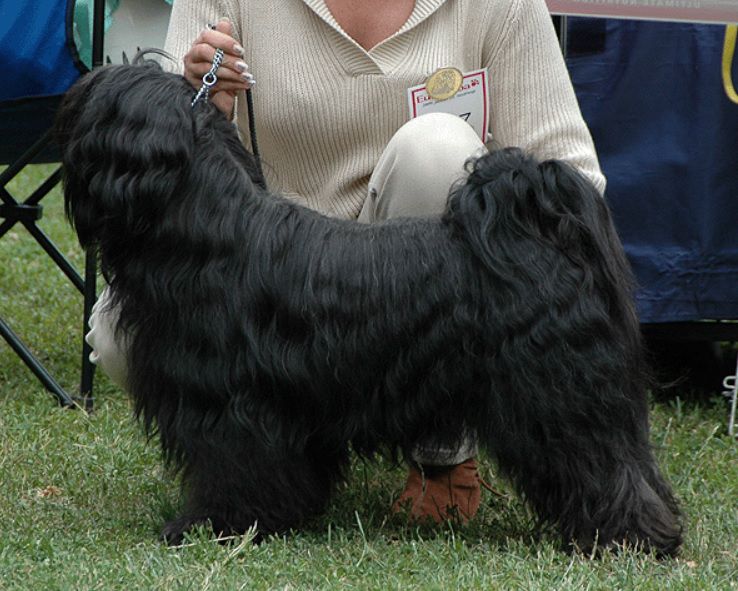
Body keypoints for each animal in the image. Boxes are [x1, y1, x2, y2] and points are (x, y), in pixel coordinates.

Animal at [54, 62, 680, 556]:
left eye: (95, 102)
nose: (74, 90)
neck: (211, 232)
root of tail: (541, 226)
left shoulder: (229, 403)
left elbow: (230, 469)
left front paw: (213, 526)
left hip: (556, 396)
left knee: (604, 468)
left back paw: (630, 539)